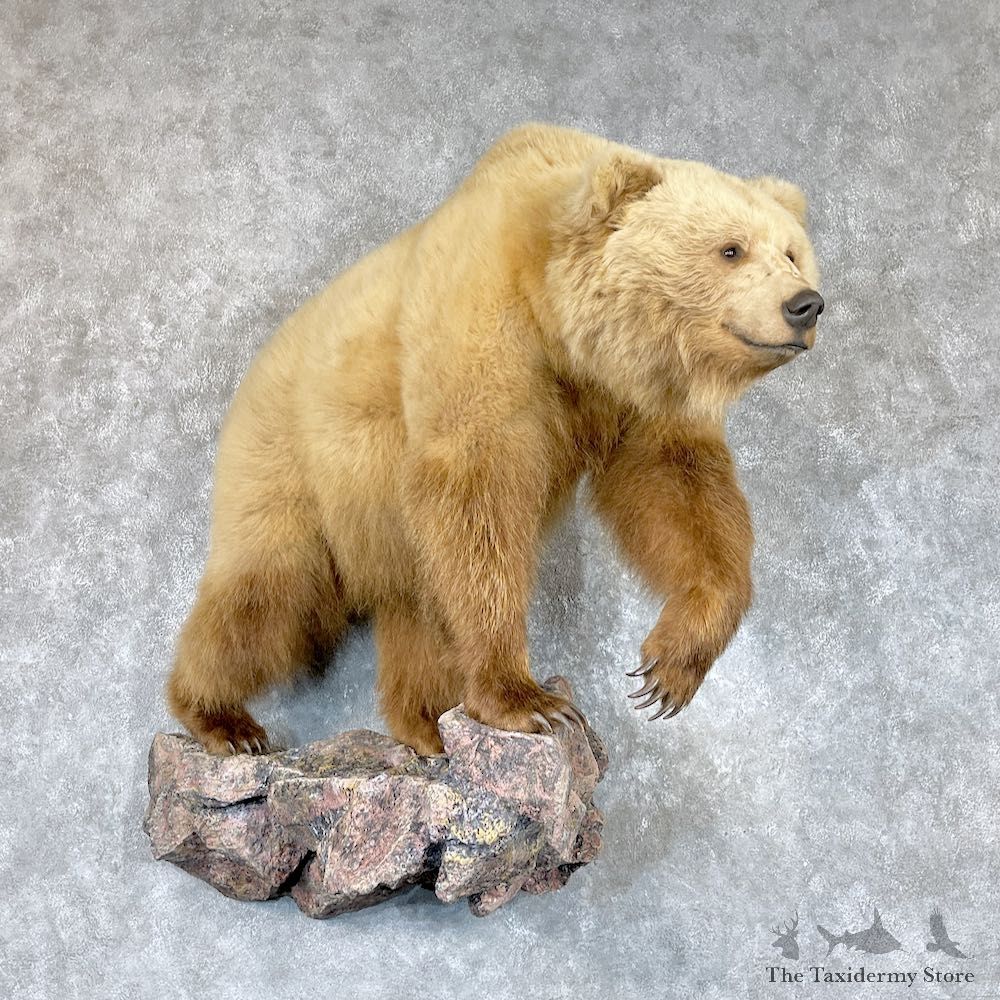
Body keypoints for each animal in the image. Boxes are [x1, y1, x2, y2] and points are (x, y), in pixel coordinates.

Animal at [166, 123, 824, 756]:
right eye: (730, 249)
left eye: (793, 252)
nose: (805, 304)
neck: (561, 322)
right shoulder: (484, 322)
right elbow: (478, 492)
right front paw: (528, 699)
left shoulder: (634, 397)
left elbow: (678, 490)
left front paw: (669, 666)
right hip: (294, 460)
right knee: (271, 593)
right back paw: (222, 719)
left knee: (416, 608)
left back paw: (427, 724)